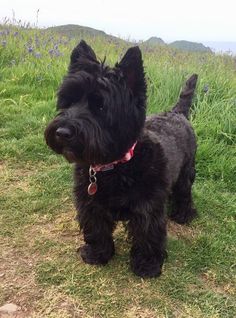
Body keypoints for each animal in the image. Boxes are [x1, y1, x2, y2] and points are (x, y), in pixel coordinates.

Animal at [44, 41, 197, 278]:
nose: (62, 132)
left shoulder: (147, 208)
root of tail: (177, 113)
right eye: (68, 100)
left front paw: (147, 265)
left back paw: (183, 214)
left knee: (184, 193)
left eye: (100, 106)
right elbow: (96, 229)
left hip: (185, 173)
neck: (115, 166)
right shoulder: (90, 204)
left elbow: (148, 235)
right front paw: (97, 254)